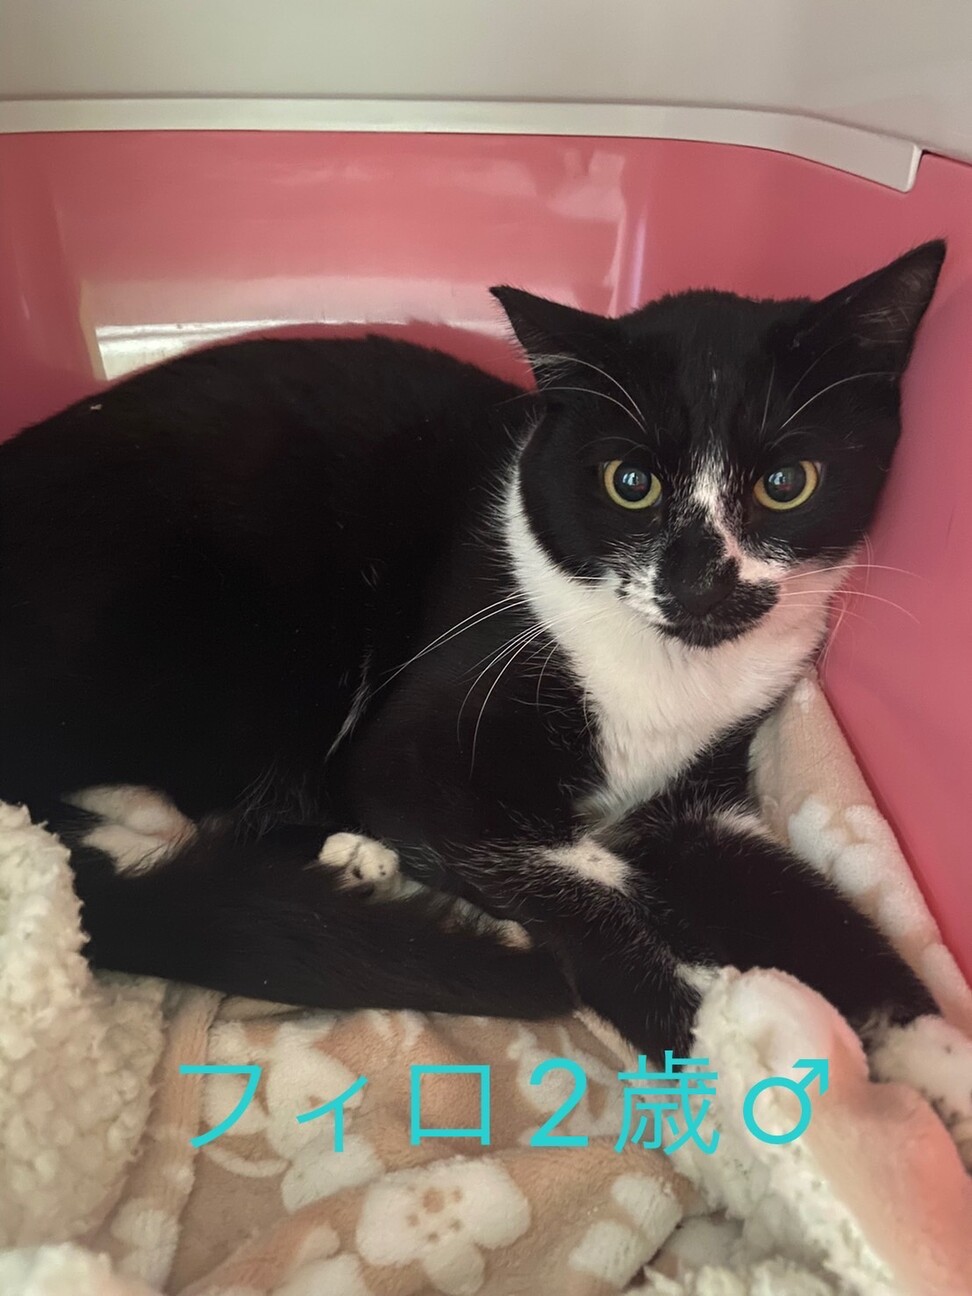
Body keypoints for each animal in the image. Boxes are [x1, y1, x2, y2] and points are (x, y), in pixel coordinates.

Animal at [0, 242, 959, 1122]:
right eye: (631, 482)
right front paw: (732, 1071)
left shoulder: (704, 798)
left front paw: (934, 1062)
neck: (670, 674)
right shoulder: (420, 742)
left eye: (787, 483)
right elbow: (565, 875)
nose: (697, 583)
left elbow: (811, 910)